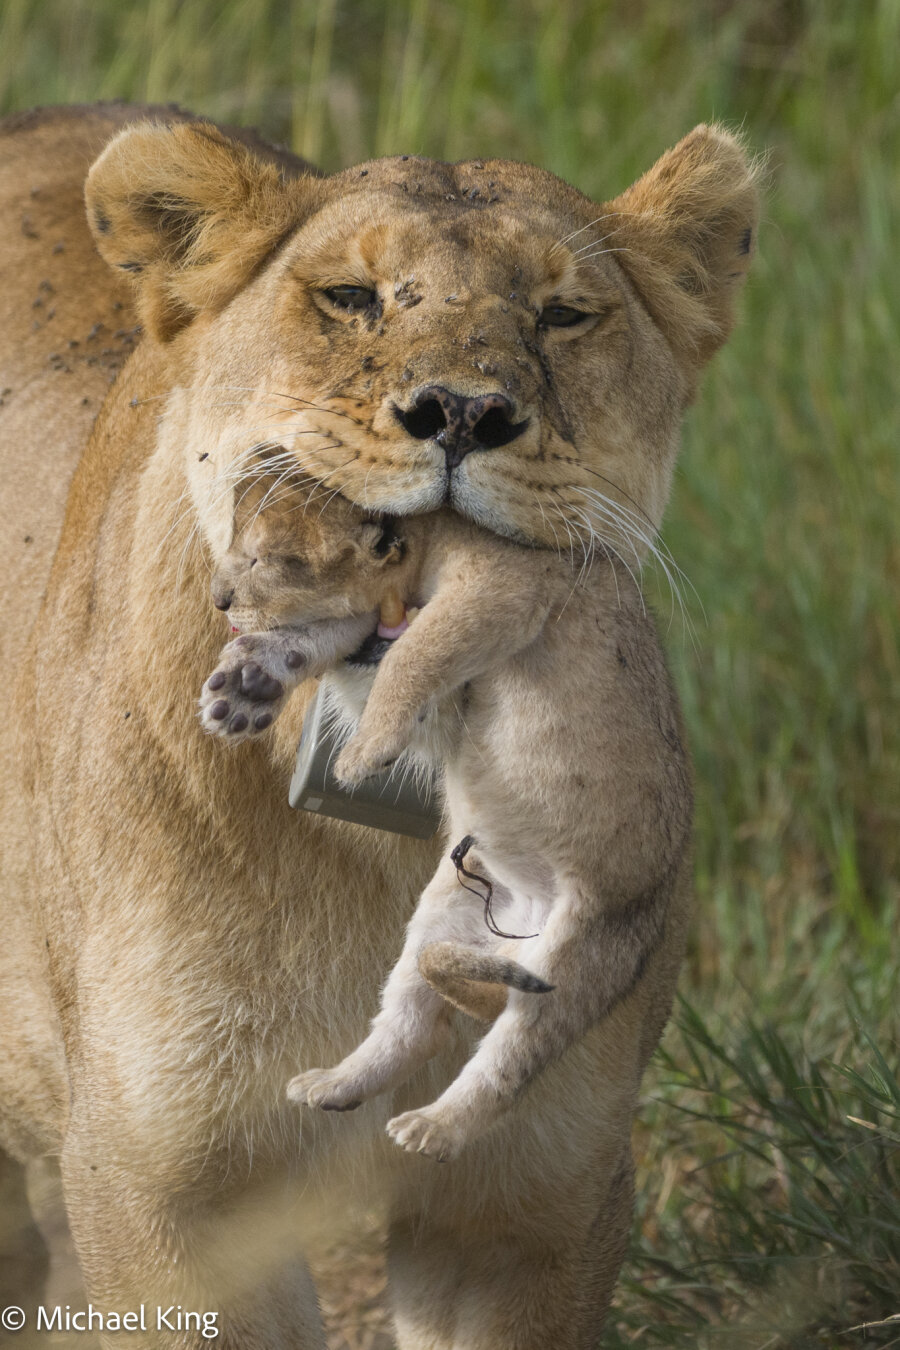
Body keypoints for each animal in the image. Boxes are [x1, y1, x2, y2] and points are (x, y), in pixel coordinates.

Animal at [0, 102, 756, 1347]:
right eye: (350, 298)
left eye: (564, 314)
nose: (463, 412)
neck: (385, 829)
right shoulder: (162, 1194)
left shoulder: (536, 1196)